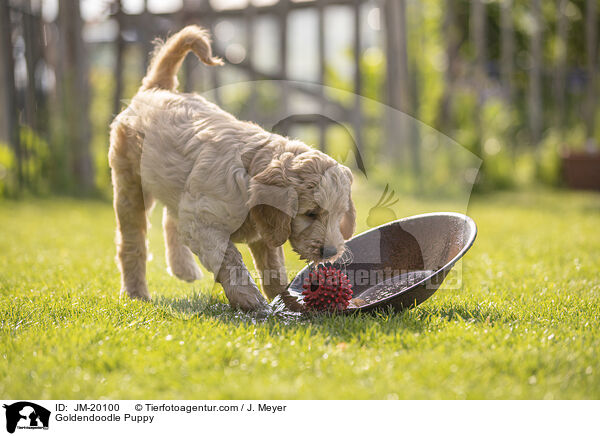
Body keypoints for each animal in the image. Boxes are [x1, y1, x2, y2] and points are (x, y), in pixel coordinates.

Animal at [108, 24, 354, 310]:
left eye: (339, 215)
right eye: (310, 213)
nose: (331, 252)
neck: (247, 174)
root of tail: (157, 89)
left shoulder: (264, 234)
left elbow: (273, 268)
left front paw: (287, 303)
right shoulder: (203, 224)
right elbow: (230, 259)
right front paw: (250, 299)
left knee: (170, 219)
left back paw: (183, 268)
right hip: (130, 183)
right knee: (132, 241)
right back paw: (136, 291)